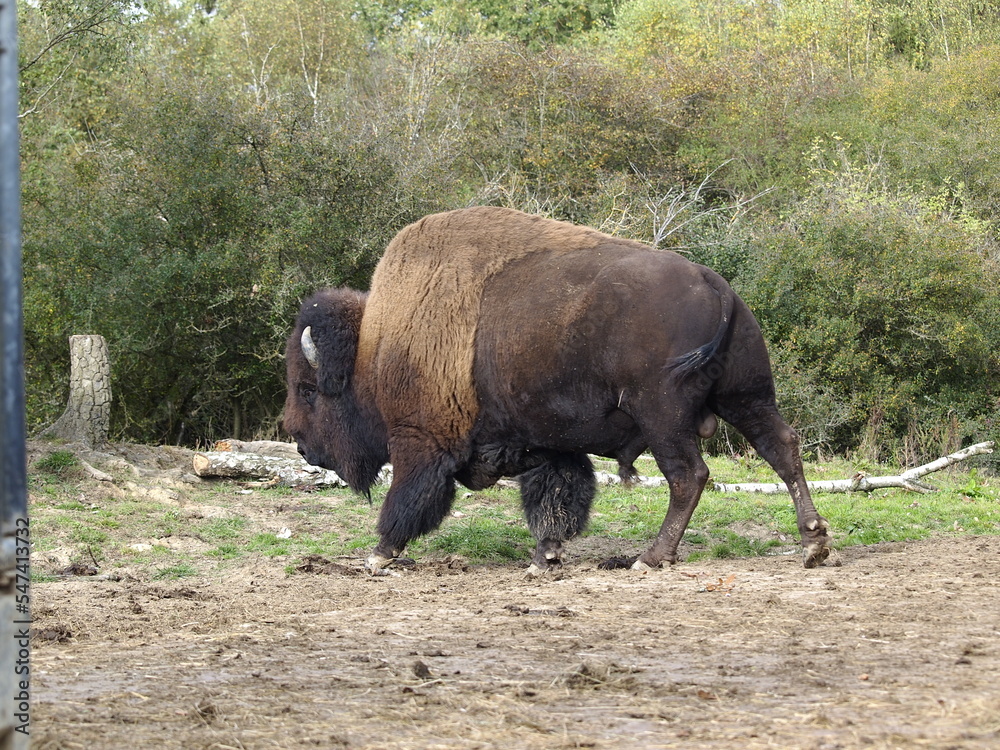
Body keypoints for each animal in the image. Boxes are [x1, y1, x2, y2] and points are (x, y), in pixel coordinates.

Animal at [282, 206, 828, 576]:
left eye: (309, 390)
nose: (301, 444)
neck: (375, 346)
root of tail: (718, 287)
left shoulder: (421, 440)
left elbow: (406, 500)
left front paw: (378, 556)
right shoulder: (551, 445)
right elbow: (557, 498)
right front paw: (546, 556)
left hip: (663, 415)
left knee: (688, 476)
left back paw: (651, 557)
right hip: (747, 397)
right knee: (782, 449)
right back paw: (814, 544)